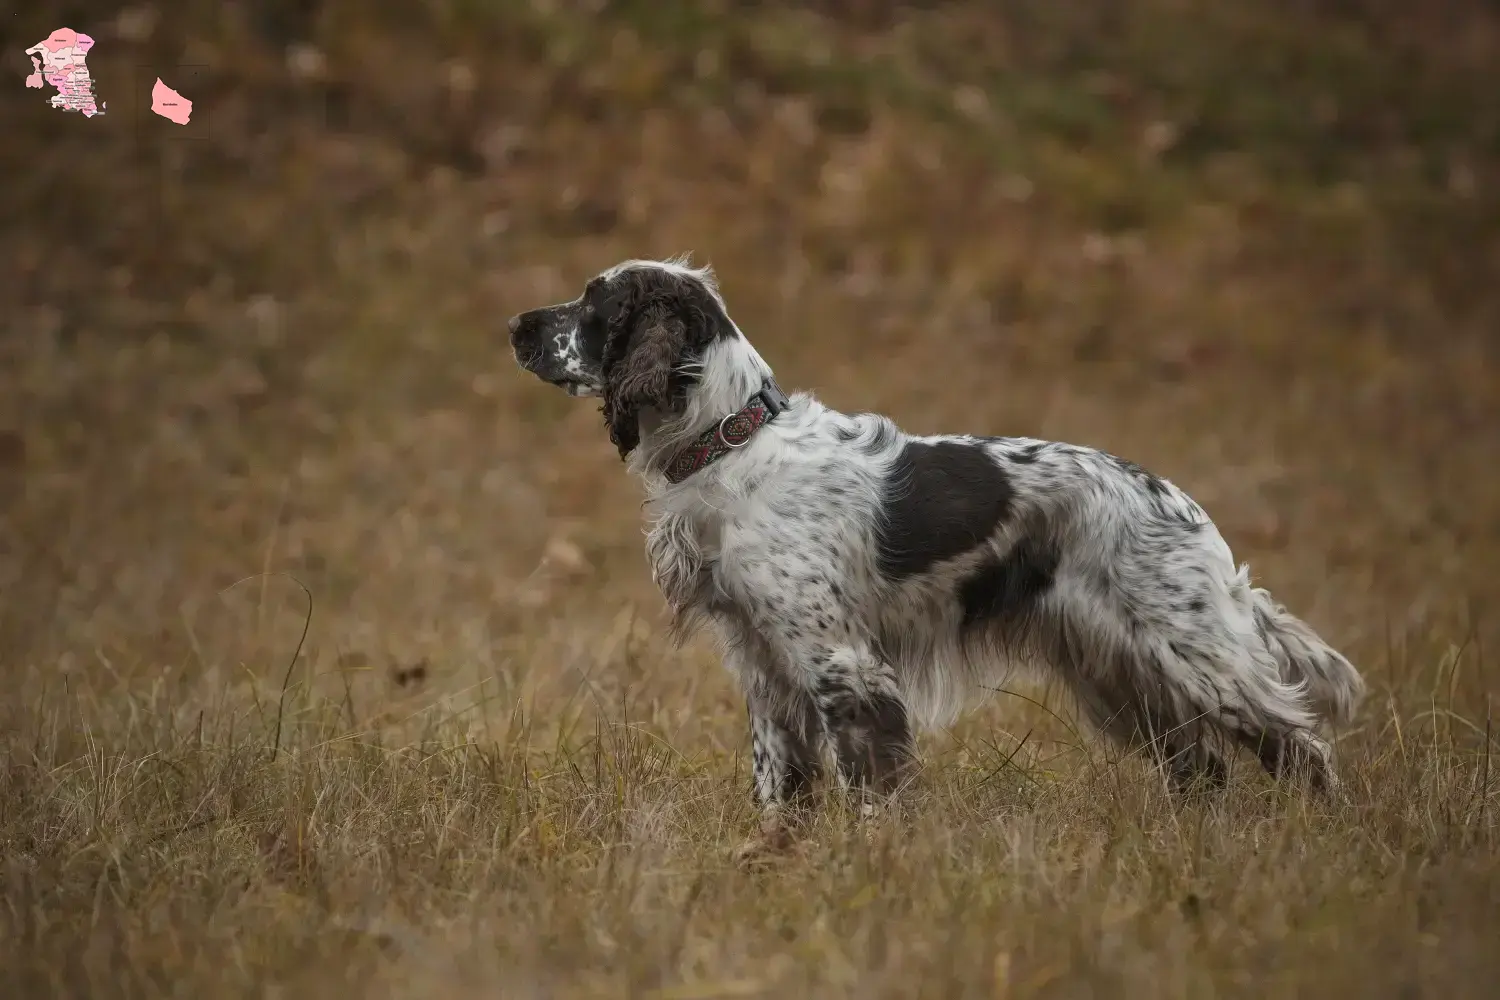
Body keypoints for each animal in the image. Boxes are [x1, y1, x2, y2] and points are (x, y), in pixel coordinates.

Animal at [510, 257, 1368, 851]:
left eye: (593, 306)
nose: (515, 324)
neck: (734, 442)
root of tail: (1187, 509)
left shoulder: (842, 665)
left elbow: (871, 783)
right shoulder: (766, 668)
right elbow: (780, 786)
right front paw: (772, 856)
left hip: (1196, 655)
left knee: (1300, 742)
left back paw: (1326, 834)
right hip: (1118, 674)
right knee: (1206, 767)